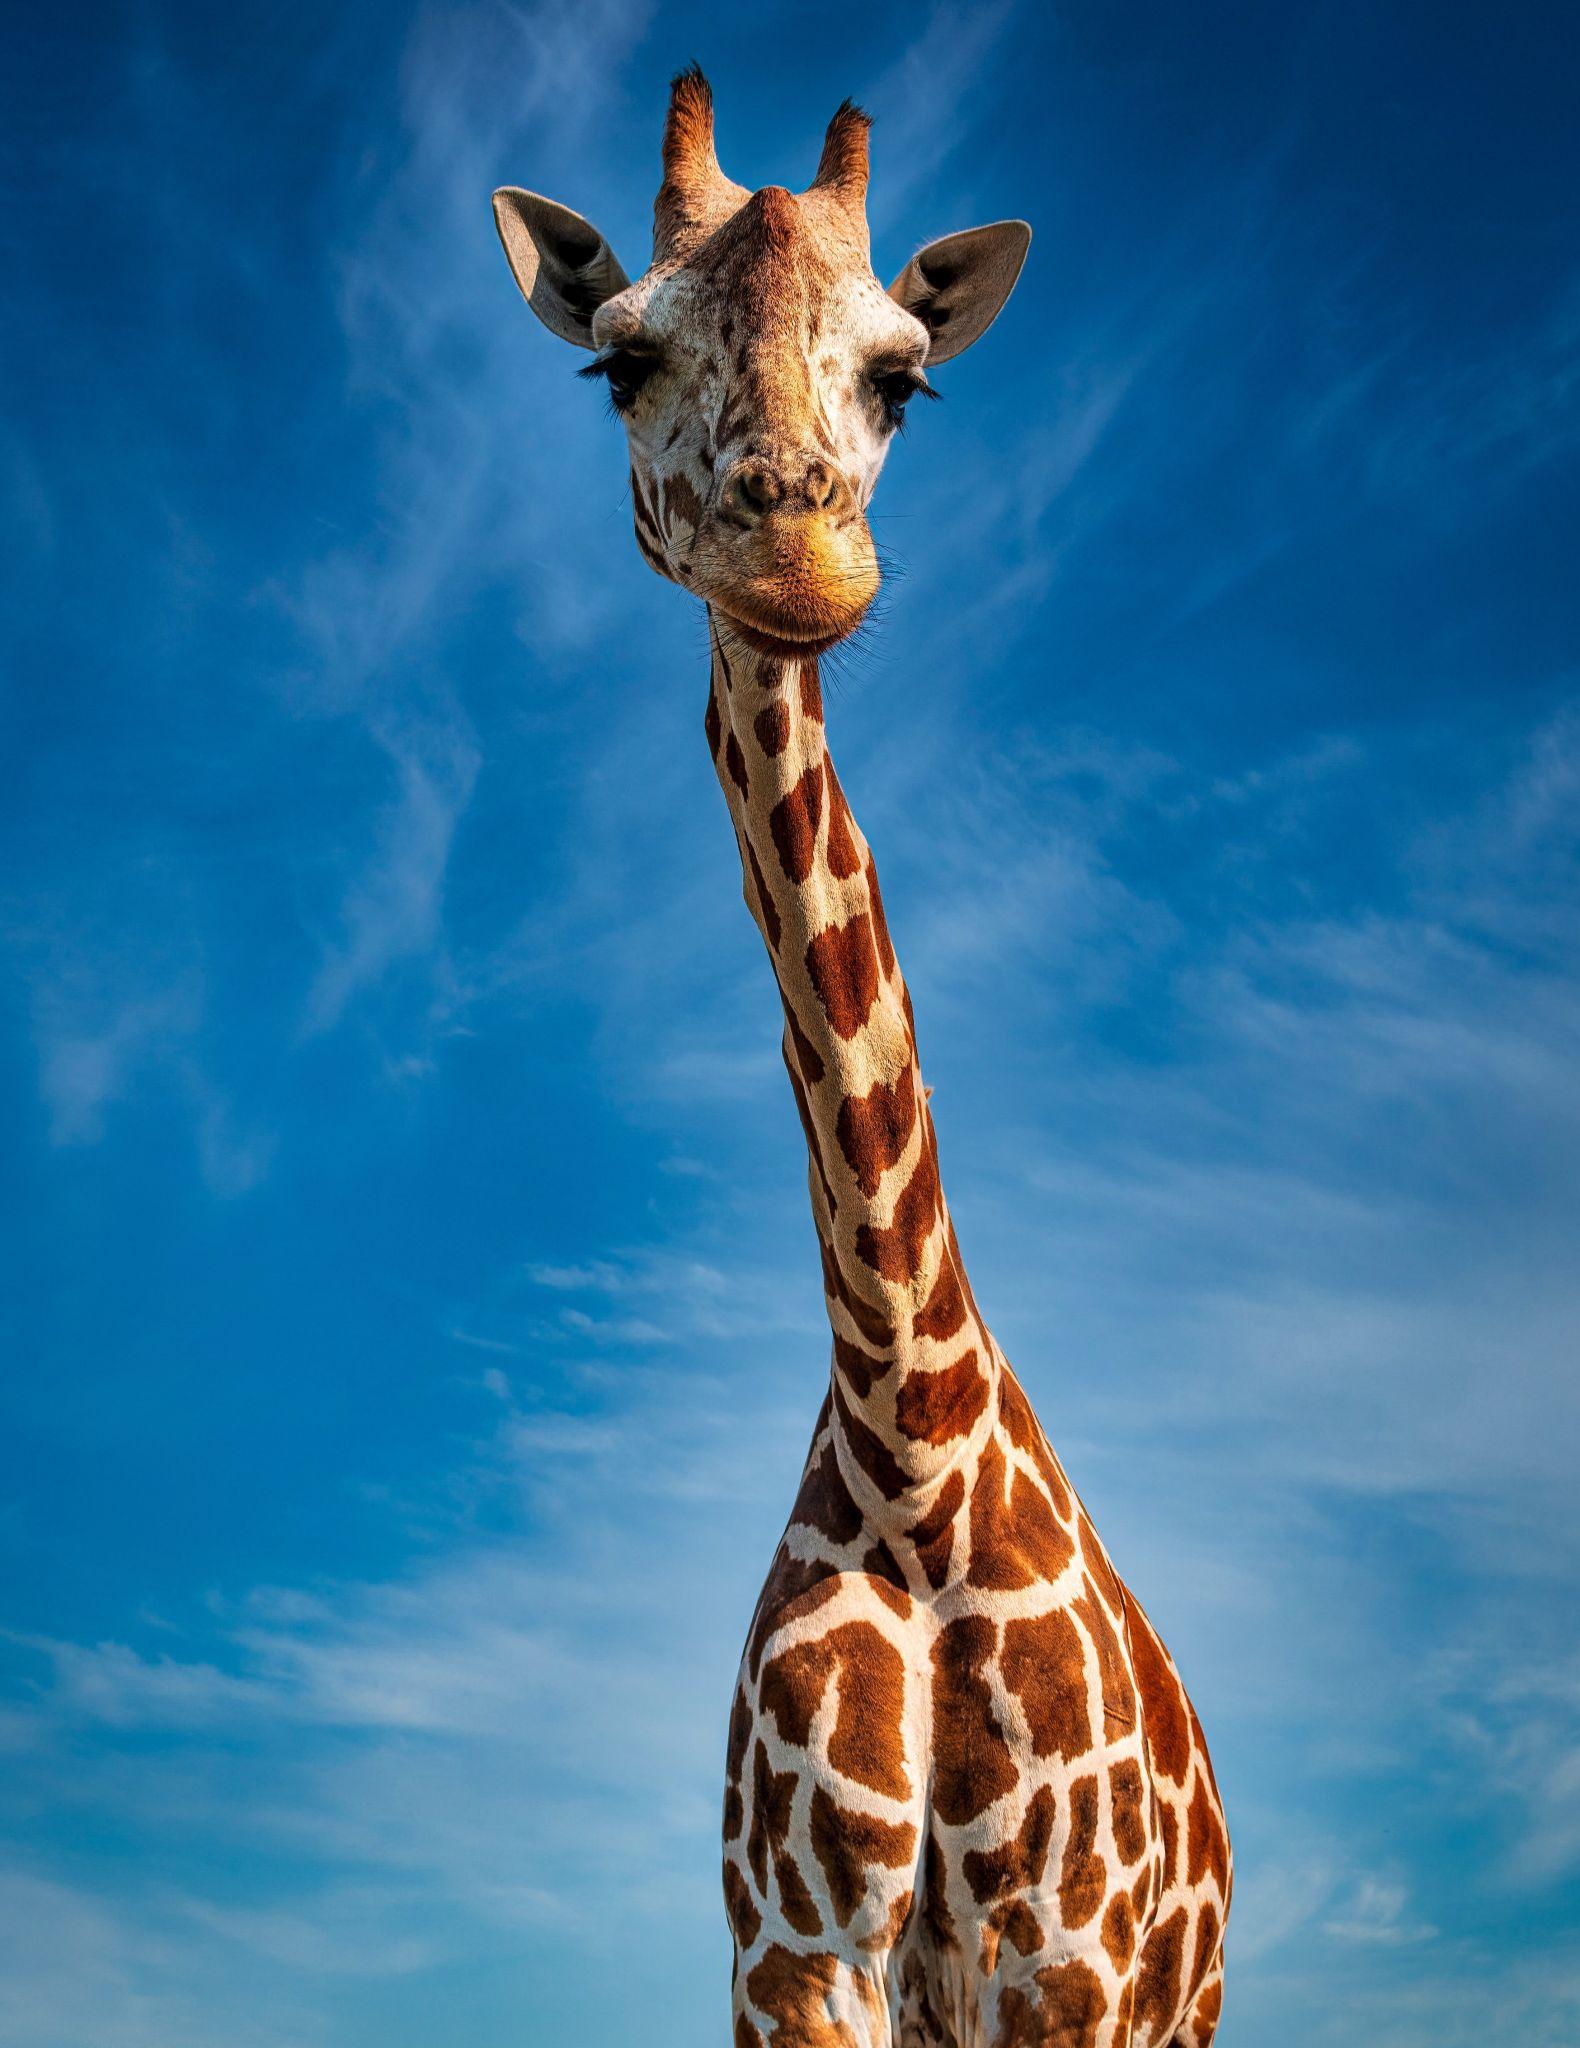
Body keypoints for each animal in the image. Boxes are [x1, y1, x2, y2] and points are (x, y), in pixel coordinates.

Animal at [493, 68, 1230, 2048]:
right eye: (617, 362)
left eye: (908, 377)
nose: (794, 550)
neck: (910, 1451)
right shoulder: (793, 1957)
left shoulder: (1063, 1967)